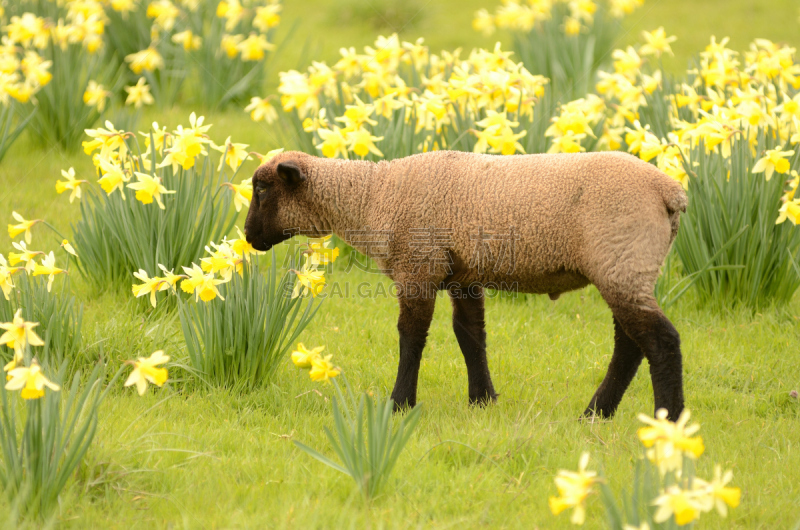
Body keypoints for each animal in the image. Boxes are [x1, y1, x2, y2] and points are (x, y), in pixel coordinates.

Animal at [244, 150, 688, 420]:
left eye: (262, 189)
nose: (248, 237)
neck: (371, 197)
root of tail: (670, 192)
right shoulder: (463, 275)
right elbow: (470, 334)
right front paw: (482, 400)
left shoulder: (418, 266)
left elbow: (411, 336)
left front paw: (400, 404)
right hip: (625, 265)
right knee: (630, 344)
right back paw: (596, 414)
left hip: (622, 259)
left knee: (659, 340)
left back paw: (668, 420)